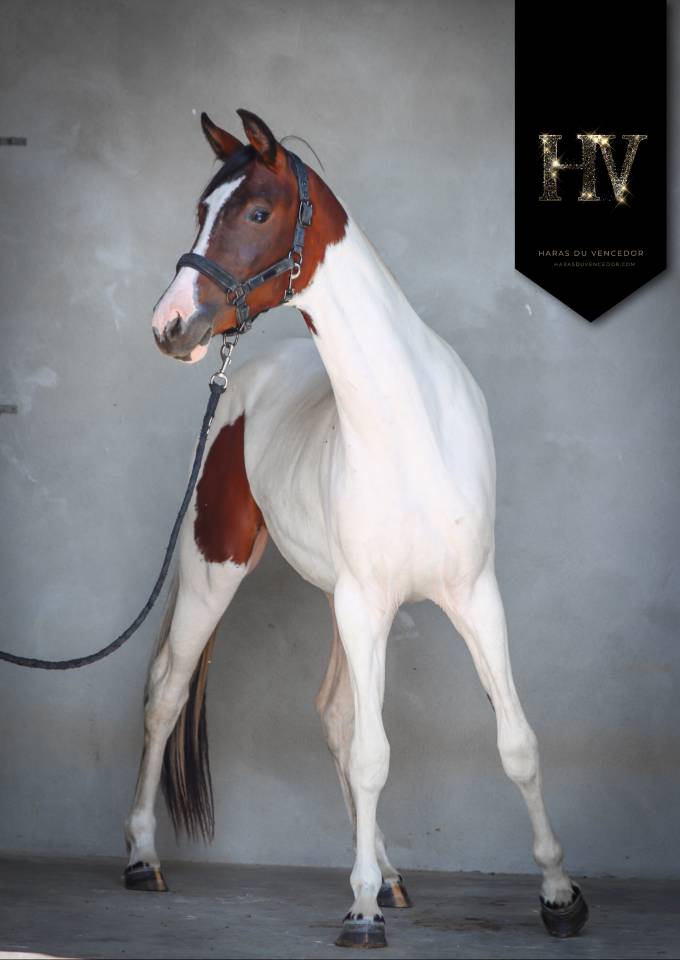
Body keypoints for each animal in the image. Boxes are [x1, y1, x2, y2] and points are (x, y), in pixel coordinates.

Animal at [123, 108, 589, 948]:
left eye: (256, 212)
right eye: (200, 210)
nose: (169, 325)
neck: (409, 421)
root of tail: (240, 383)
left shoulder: (473, 596)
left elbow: (517, 743)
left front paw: (560, 894)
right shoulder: (368, 604)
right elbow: (376, 754)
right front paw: (361, 909)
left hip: (339, 603)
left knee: (334, 714)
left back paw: (392, 872)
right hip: (219, 570)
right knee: (168, 693)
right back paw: (144, 857)